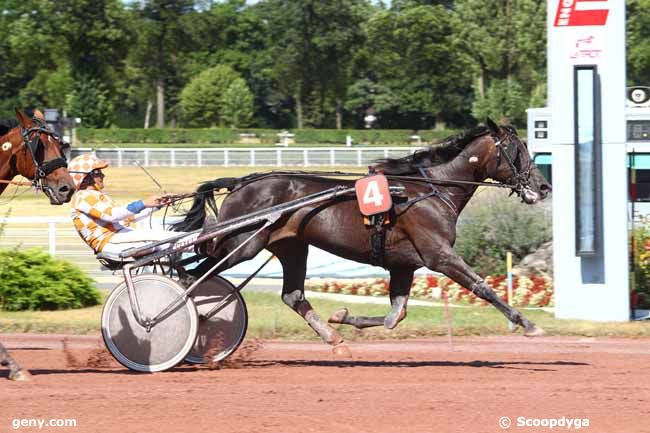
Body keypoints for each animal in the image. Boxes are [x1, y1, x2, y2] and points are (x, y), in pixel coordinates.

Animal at [176, 119, 552, 348]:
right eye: (517, 151)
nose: (544, 187)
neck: (431, 189)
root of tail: (241, 182)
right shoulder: (439, 256)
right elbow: (482, 287)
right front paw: (527, 323)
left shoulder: (404, 264)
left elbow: (395, 316)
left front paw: (341, 316)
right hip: (242, 244)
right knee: (191, 272)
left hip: (291, 247)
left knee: (292, 296)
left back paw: (332, 337)